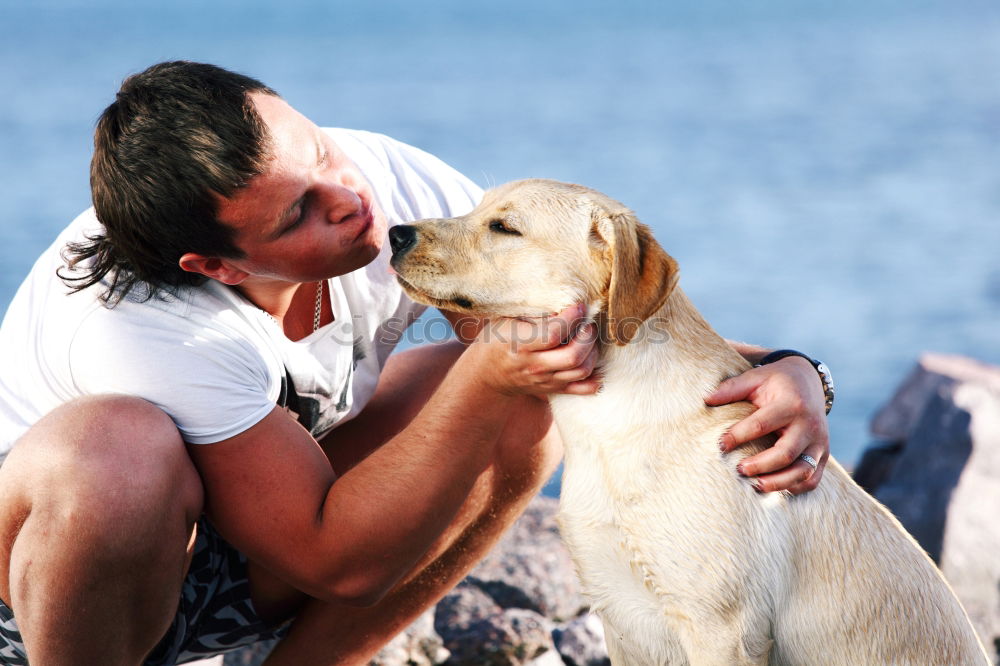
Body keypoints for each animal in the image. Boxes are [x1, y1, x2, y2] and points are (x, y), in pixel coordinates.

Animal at [386, 179, 988, 660]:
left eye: (504, 227)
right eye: (476, 208)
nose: (394, 233)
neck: (605, 426)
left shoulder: (721, 628)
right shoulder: (622, 619)